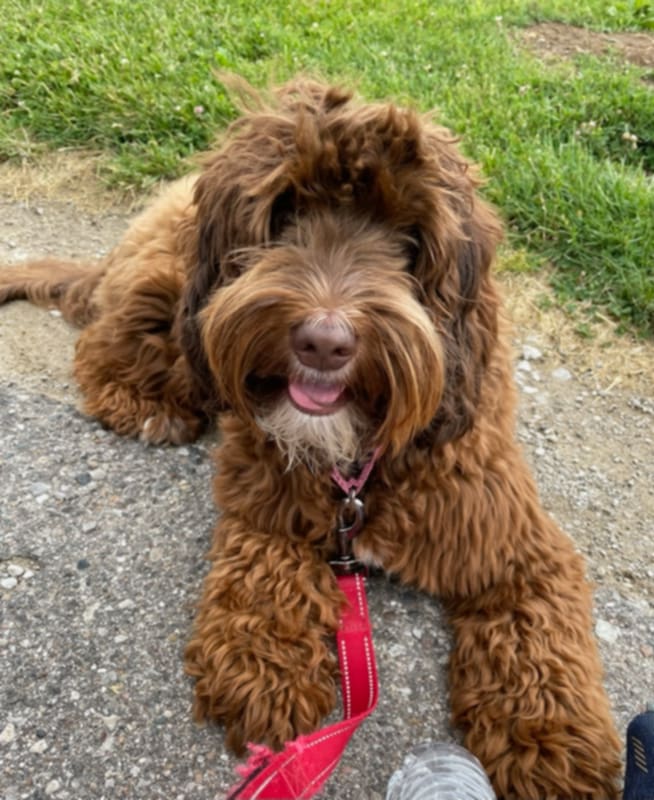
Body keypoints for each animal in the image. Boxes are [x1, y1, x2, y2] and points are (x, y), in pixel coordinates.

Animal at [0, 78, 621, 798]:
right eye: (286, 210)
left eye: (410, 238)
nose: (324, 341)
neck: (355, 460)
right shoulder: (264, 495)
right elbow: (263, 565)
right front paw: (264, 666)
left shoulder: (515, 546)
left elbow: (540, 644)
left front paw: (549, 743)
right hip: (173, 292)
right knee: (112, 336)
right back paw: (143, 402)